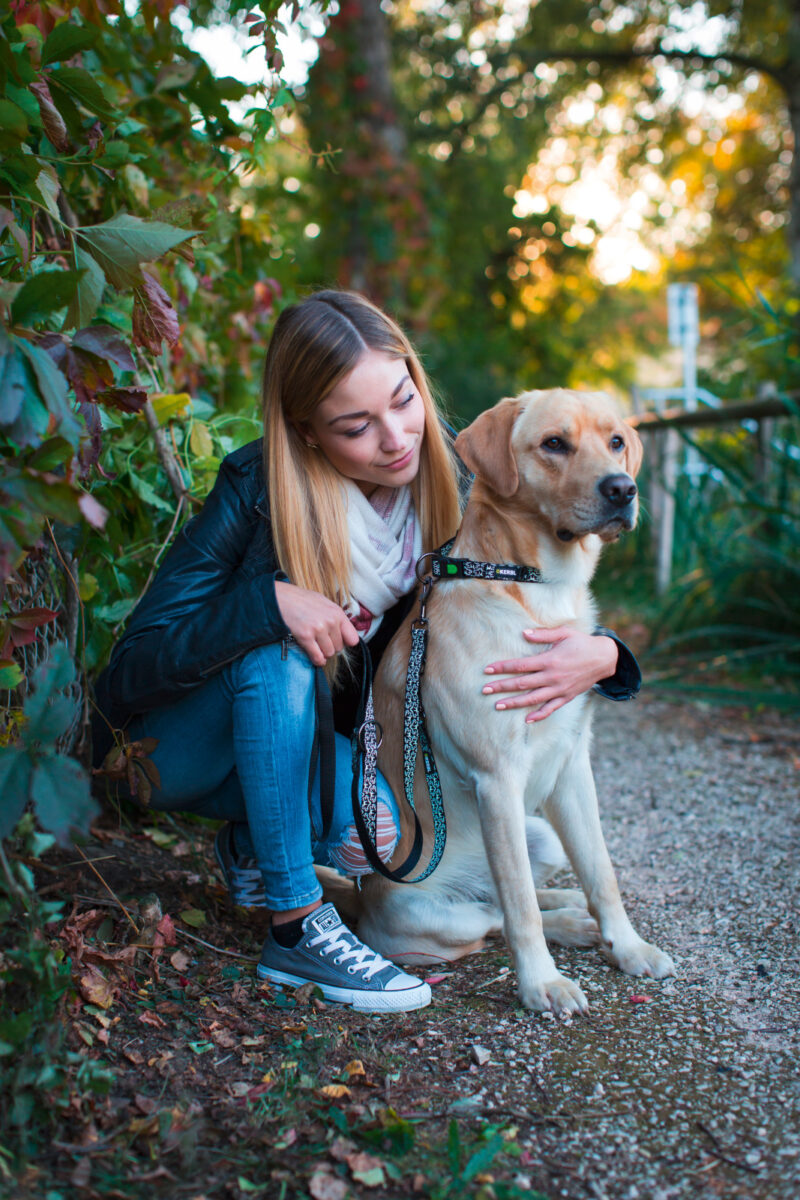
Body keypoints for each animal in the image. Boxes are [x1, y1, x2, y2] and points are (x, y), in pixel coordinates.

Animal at [357, 391, 676, 1012]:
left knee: (517, 895)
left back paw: (574, 913)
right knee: (497, 915)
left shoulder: (573, 766)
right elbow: (520, 910)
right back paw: (566, 927)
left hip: (542, 837)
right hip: (435, 912)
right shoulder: (497, 776)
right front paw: (542, 984)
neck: (534, 588)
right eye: (554, 444)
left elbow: (602, 873)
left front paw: (628, 948)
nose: (621, 490)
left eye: (616, 441)